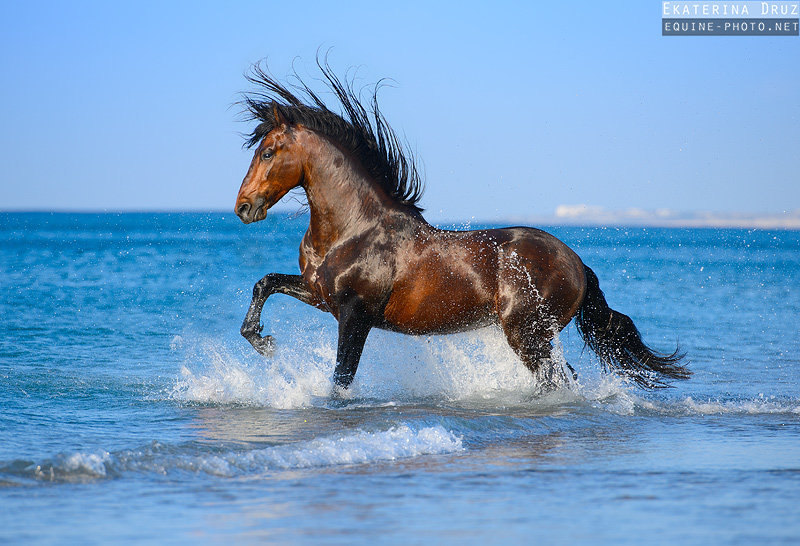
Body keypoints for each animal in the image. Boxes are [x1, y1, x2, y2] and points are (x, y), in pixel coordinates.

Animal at [231, 61, 688, 388]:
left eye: (268, 152)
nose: (243, 207)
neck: (354, 230)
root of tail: (577, 263)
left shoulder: (354, 314)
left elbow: (340, 380)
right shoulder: (320, 294)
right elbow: (265, 283)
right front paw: (263, 342)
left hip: (527, 334)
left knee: (556, 379)